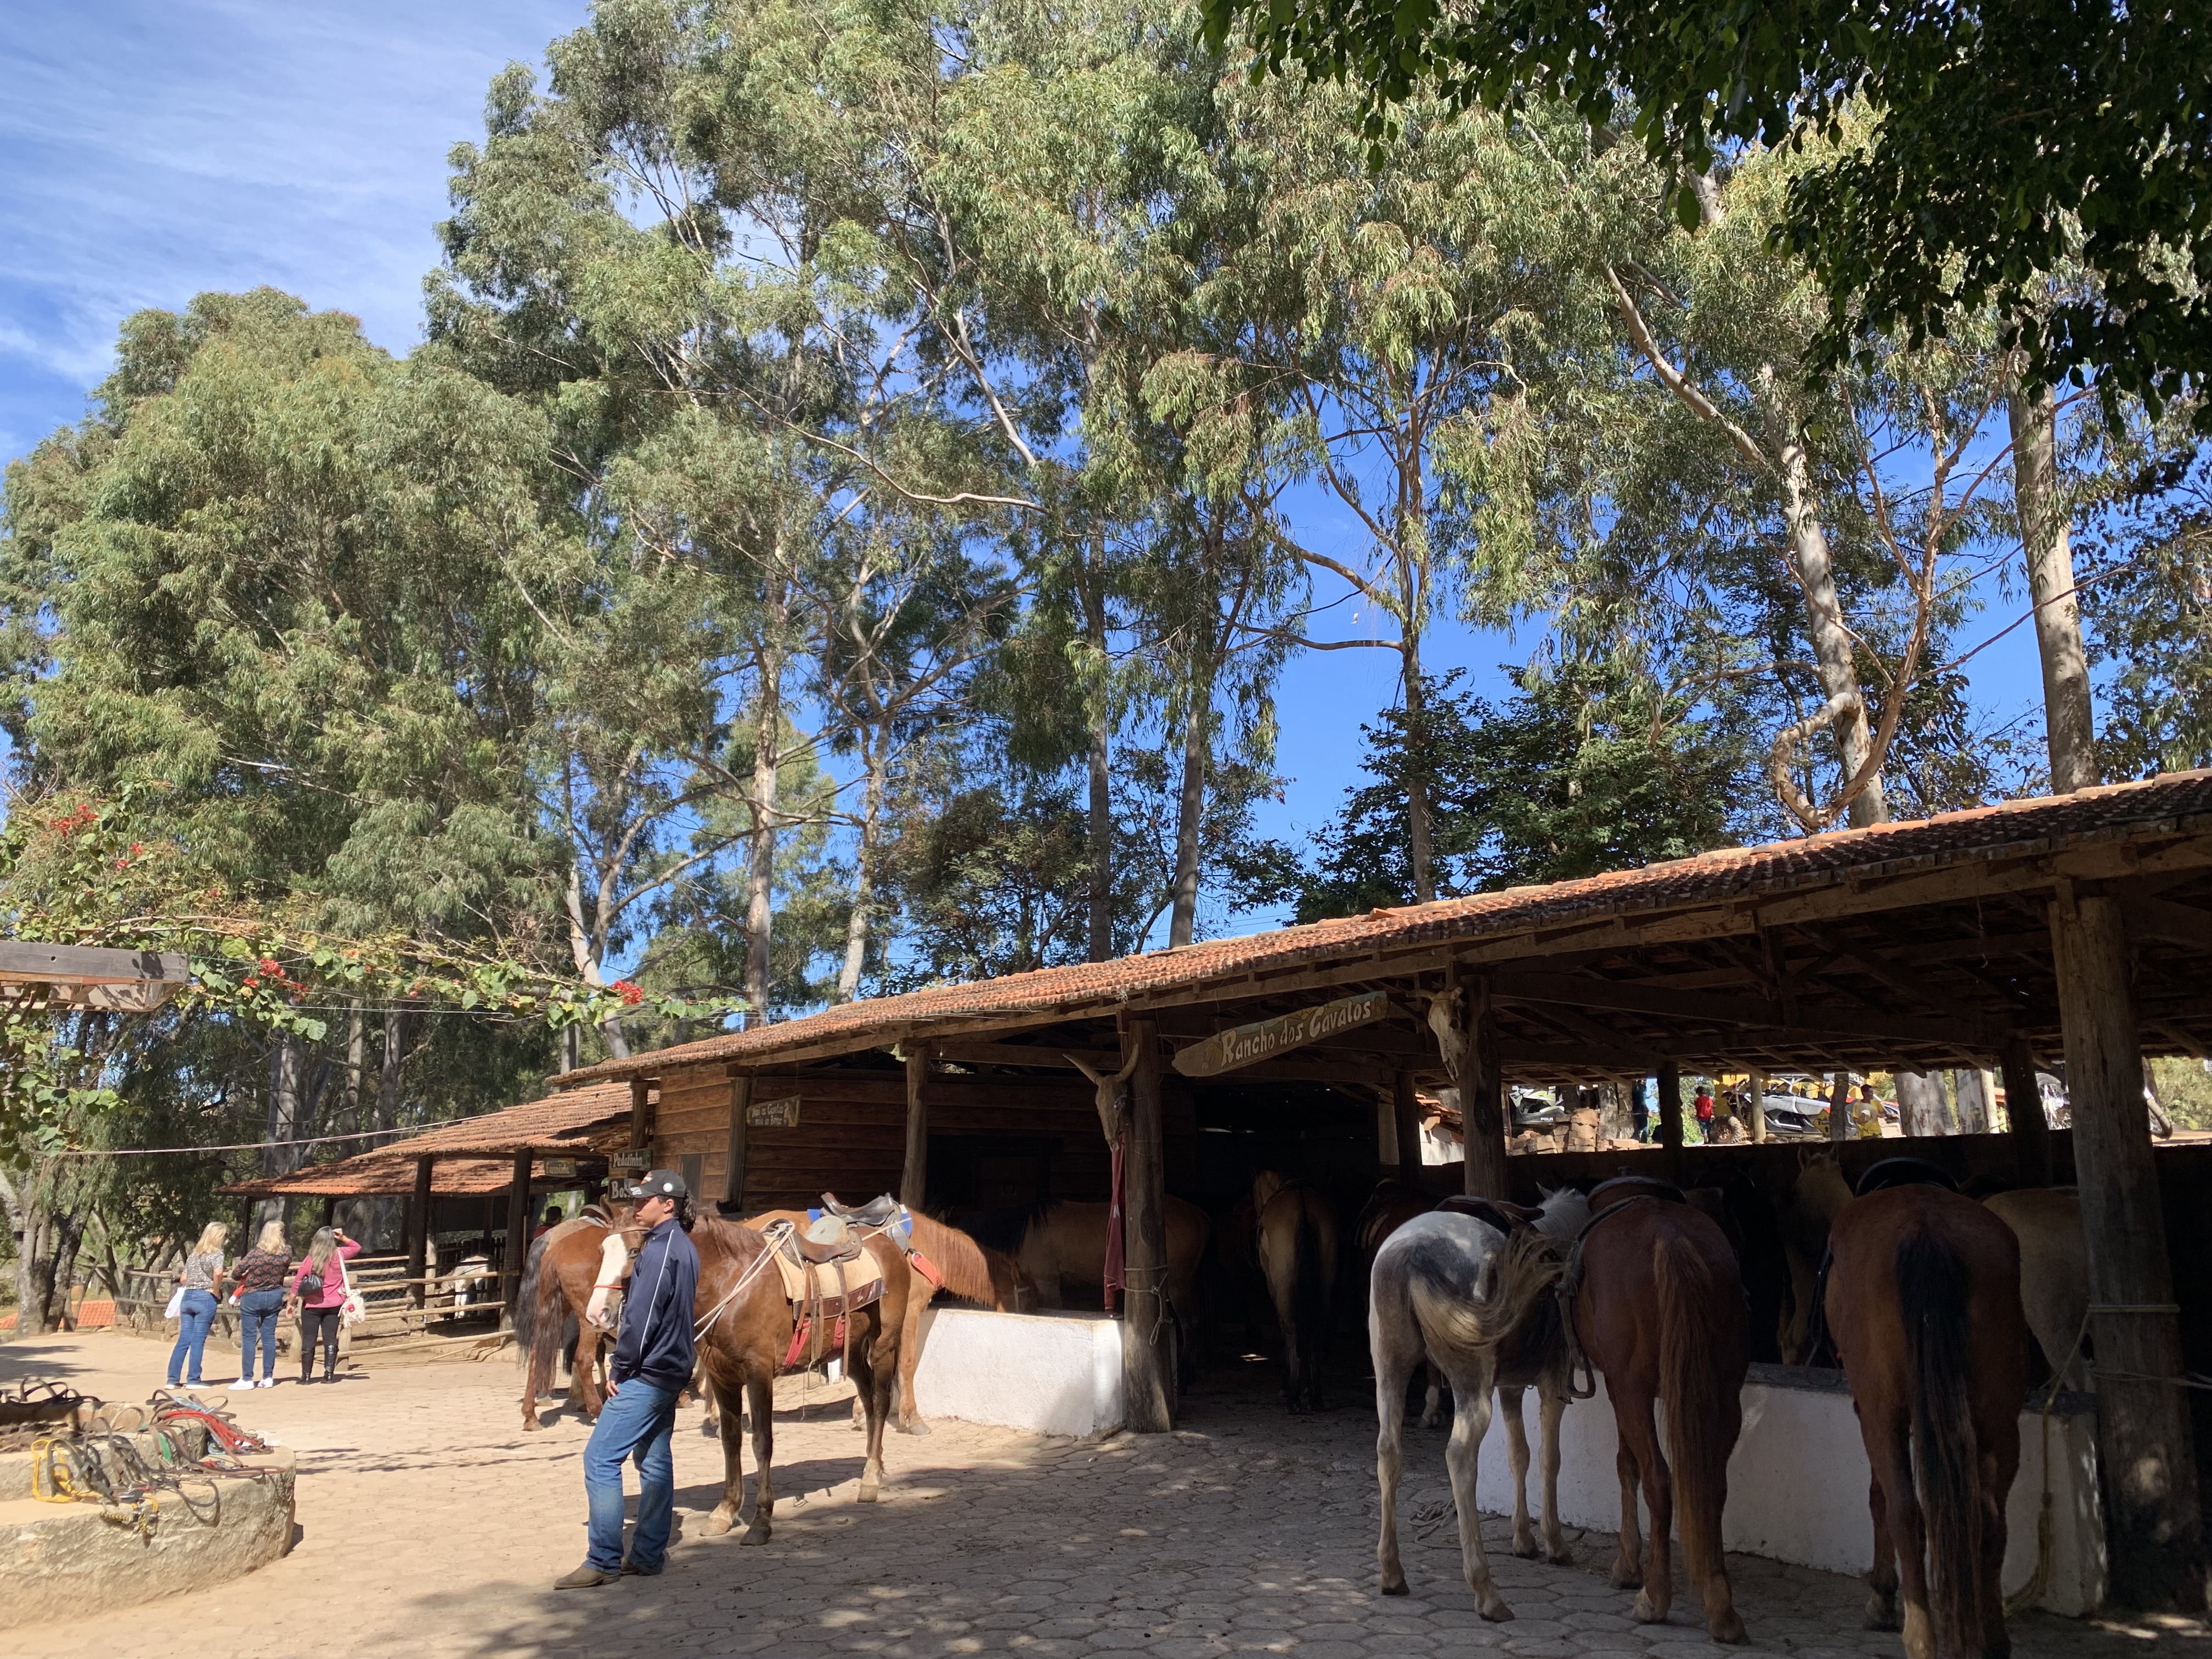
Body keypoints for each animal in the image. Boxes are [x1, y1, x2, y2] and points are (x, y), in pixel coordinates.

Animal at [1256, 1167, 1336, 1415]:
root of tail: (1303, 1204)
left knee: (1291, 1328)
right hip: (1324, 1283)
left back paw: (1292, 1396)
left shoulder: (1274, 1288)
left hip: (1283, 1285)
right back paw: (1316, 1394)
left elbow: (1286, 1330)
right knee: (1317, 1327)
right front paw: (1308, 1388)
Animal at [1371, 1194, 1583, 1628]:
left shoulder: (1512, 1387)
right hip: (1470, 1386)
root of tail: (1411, 1253)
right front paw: (1554, 1543)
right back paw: (1486, 1593)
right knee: (1460, 1458)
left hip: (1389, 1371)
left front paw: (1524, 1540)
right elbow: (1549, 1459)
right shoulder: (1552, 1384)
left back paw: (1392, 1573)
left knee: (1389, 1452)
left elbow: (1519, 1455)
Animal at [1575, 1186, 1760, 1645]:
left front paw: (1627, 1566)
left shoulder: (1618, 1387)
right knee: (1712, 1484)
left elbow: (1627, 1465)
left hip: (1634, 1391)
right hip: (1723, 1392)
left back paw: (1654, 1597)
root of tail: (1670, 1236)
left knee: (1659, 1480)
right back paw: (1721, 1606)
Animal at [1822, 1186, 2026, 1654]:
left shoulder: (1873, 1411)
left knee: (1905, 1509)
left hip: (1882, 1413)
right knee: (1990, 1519)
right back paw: (1992, 1640)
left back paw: (1919, 1638)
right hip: (2000, 1420)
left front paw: (1882, 1596)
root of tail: (1927, 1229)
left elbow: (1880, 1497)